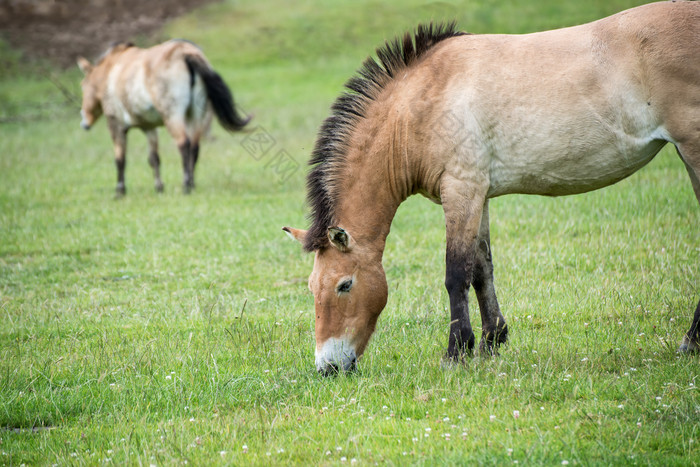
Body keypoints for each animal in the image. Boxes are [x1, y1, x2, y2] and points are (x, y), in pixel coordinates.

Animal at [78, 38, 252, 196]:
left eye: (83, 85)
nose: (84, 122)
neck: (111, 70)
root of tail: (184, 52)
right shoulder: (149, 128)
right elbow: (154, 158)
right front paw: (159, 187)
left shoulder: (116, 124)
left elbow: (120, 159)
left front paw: (120, 190)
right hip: (195, 115)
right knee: (194, 147)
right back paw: (192, 183)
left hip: (173, 116)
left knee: (184, 144)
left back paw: (186, 186)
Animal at [284, 0, 700, 376]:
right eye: (312, 288)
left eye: (344, 285)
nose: (327, 367)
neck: (423, 101)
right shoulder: (478, 195)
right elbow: (481, 269)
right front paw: (491, 342)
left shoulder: (461, 190)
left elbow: (456, 273)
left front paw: (456, 353)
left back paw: (689, 342)